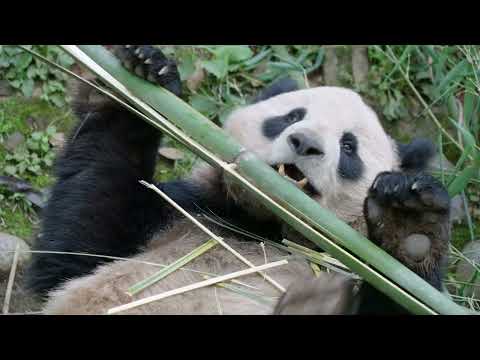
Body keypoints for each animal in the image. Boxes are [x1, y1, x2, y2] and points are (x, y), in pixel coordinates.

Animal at [23, 45, 450, 316]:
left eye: (349, 147)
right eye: (291, 116)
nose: (304, 143)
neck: (265, 227)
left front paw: (410, 223)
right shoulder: (187, 212)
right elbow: (76, 248)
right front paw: (135, 76)